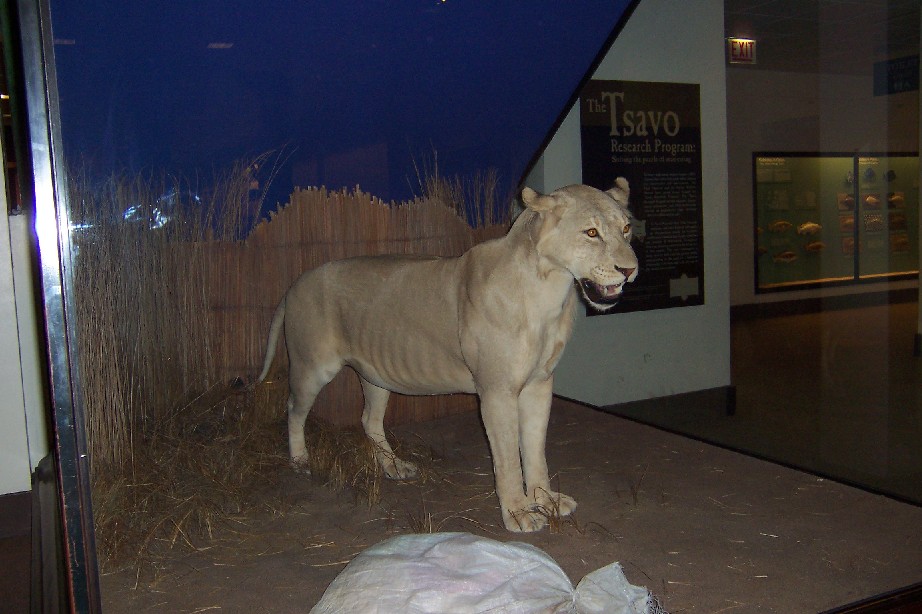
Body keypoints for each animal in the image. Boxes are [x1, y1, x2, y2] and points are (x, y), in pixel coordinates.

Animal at [257, 179, 638, 532]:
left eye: (626, 229)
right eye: (591, 232)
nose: (630, 270)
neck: (551, 291)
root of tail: (294, 284)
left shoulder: (539, 385)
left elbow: (534, 451)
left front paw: (545, 499)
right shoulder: (496, 392)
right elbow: (507, 460)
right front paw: (518, 512)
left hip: (375, 374)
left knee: (368, 419)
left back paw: (394, 466)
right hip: (311, 367)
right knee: (293, 409)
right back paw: (300, 460)